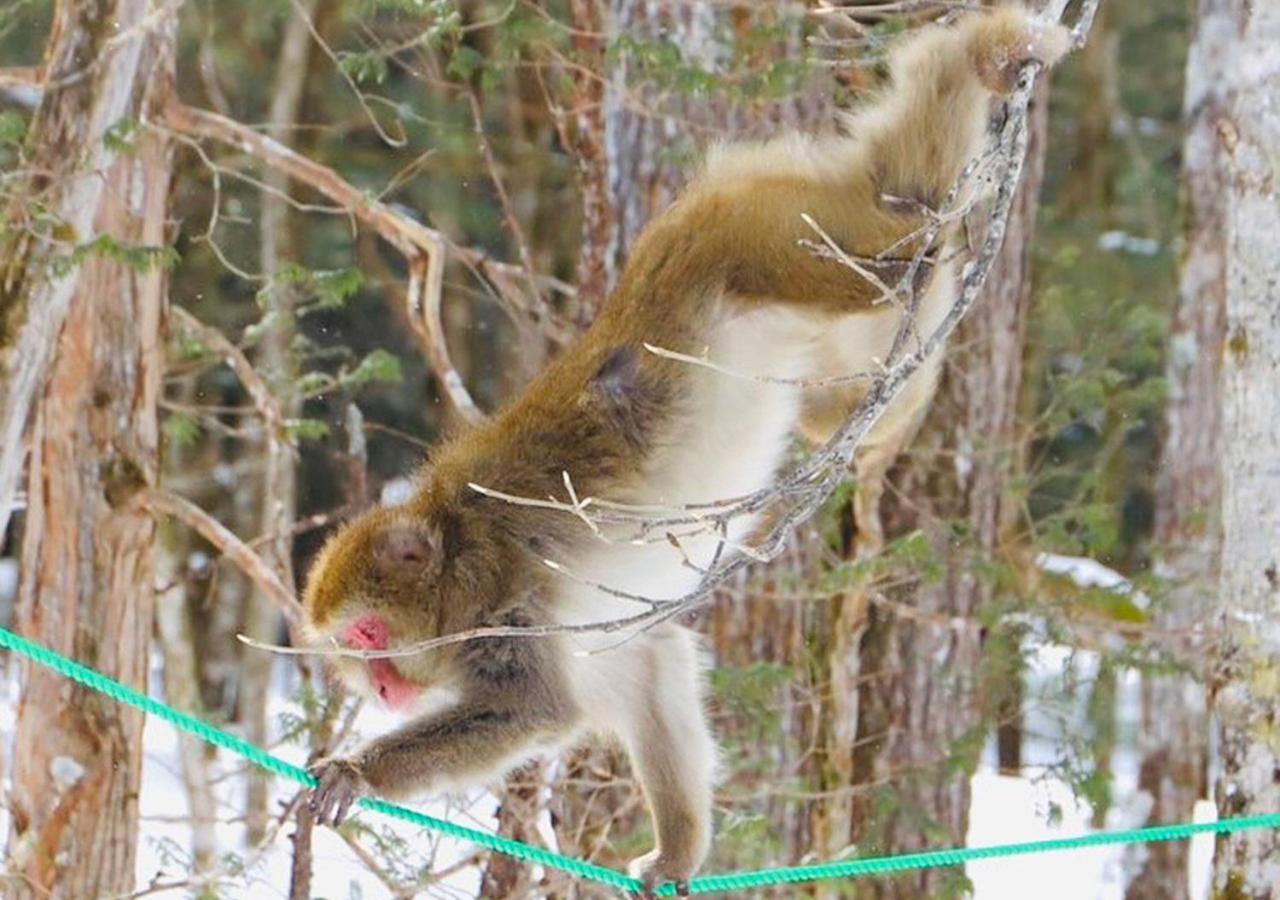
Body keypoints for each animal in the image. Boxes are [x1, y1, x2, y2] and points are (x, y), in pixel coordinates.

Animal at [302, 10, 1070, 896]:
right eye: (351, 655)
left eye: (366, 638)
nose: (381, 690)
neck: (451, 542)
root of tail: (695, 209)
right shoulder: (590, 636)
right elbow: (650, 666)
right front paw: (676, 853)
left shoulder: (496, 596)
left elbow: (532, 712)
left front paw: (357, 772)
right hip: (795, 271)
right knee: (848, 380)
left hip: (770, 238)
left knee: (894, 249)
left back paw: (971, 108)